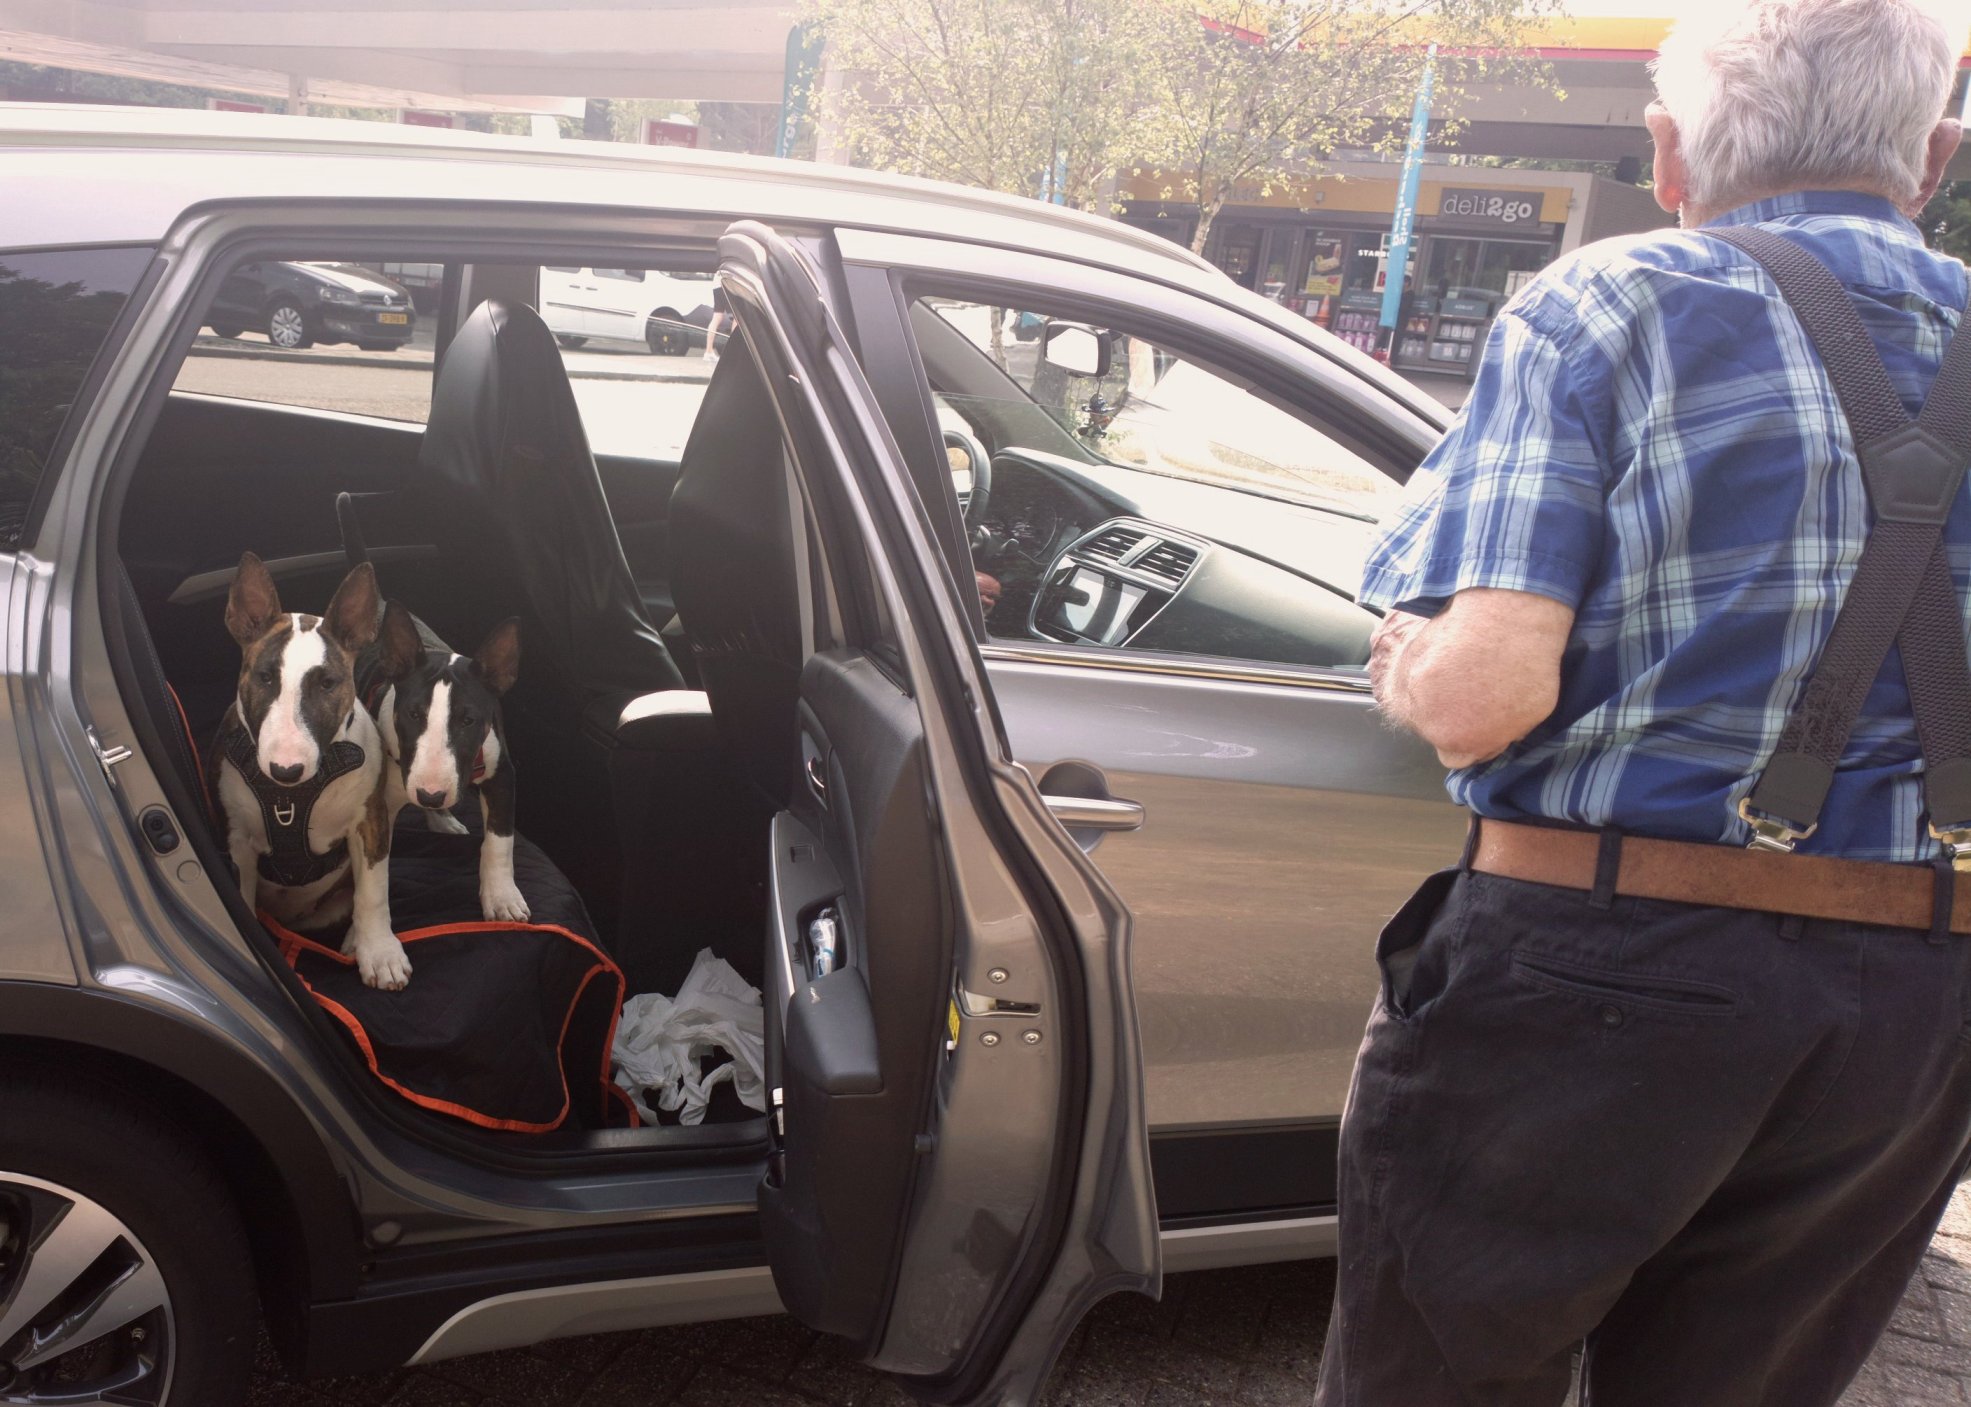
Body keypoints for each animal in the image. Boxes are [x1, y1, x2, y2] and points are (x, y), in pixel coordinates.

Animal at [210, 552, 410, 990]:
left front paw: (381, 954)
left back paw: (355, 940)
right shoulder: (237, 839)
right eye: (265, 676)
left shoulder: (369, 820)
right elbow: (242, 899)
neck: (292, 798)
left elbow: (373, 891)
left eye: (328, 683)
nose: (286, 770)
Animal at [366, 601, 529, 925]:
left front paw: (502, 898)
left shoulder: (502, 773)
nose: (431, 795)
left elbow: (500, 840)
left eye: (468, 721)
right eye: (413, 714)